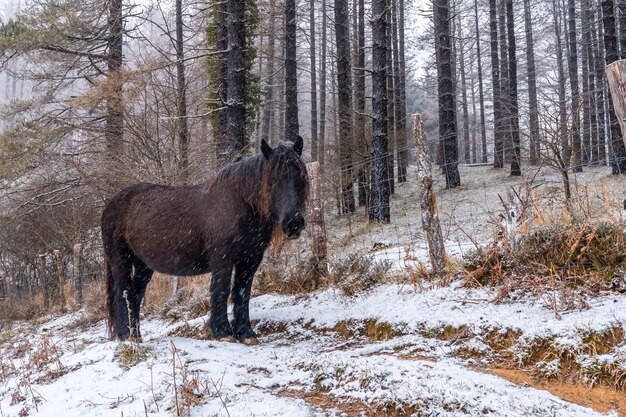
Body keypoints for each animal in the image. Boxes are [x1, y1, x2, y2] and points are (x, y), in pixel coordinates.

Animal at [103, 138, 308, 342]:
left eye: (300, 177)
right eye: (272, 180)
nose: (294, 223)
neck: (239, 204)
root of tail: (111, 204)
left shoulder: (250, 260)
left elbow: (243, 292)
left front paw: (245, 333)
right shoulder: (222, 259)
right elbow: (221, 290)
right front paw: (223, 332)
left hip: (143, 265)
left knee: (134, 295)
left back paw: (135, 336)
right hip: (121, 261)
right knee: (122, 294)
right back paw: (125, 335)